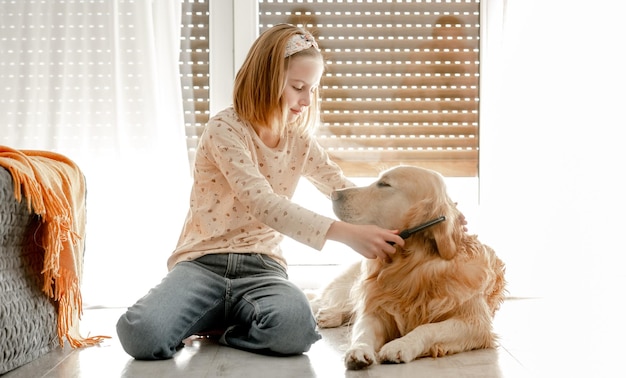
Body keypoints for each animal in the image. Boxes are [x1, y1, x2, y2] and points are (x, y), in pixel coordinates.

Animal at [310, 165, 504, 370]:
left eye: (384, 184)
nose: (334, 194)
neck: (414, 266)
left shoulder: (476, 322)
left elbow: (429, 328)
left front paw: (400, 345)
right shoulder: (376, 307)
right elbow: (362, 329)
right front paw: (359, 350)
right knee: (323, 300)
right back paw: (328, 314)